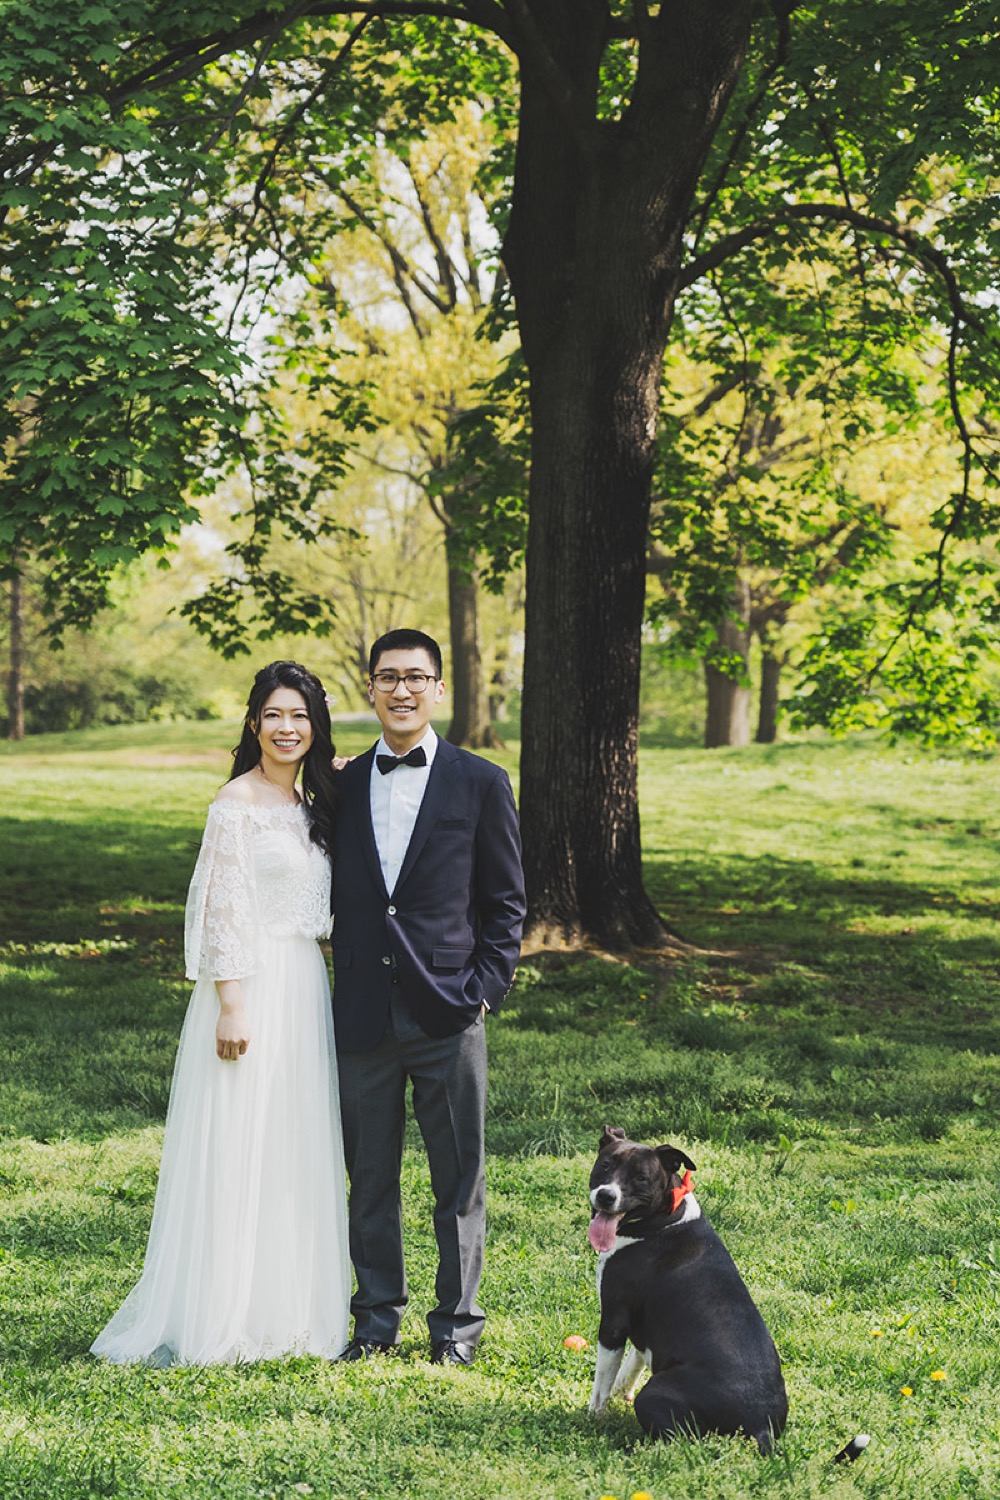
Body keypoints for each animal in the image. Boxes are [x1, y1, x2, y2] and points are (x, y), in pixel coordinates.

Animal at [587, 1126, 788, 1453]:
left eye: (641, 1177)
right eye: (605, 1165)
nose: (606, 1195)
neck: (662, 1219)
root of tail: (762, 1427)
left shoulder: (613, 1322)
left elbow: (602, 1381)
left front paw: (594, 1416)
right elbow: (632, 1363)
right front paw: (620, 1392)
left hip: (654, 1395)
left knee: (679, 1437)